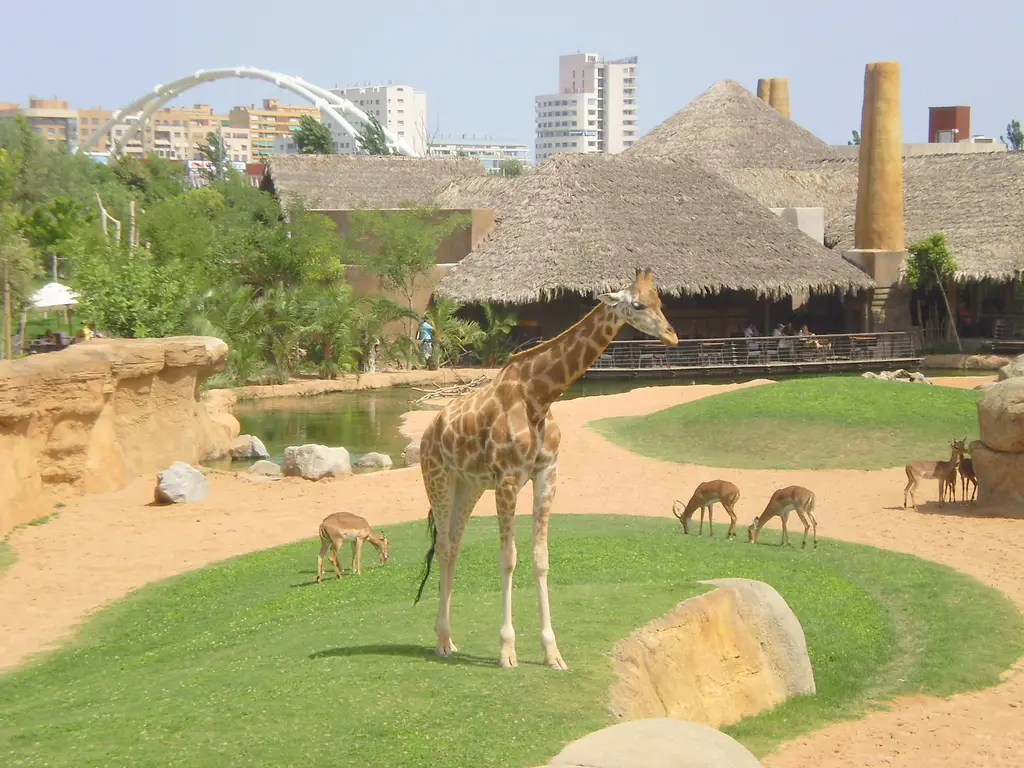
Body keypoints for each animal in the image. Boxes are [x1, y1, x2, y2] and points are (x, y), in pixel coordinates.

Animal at [414, 267, 679, 670]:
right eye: (637, 304)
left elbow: (541, 559)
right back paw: (442, 642)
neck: (540, 396)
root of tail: (430, 431)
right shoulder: (508, 479)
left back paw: (449, 639)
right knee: (443, 546)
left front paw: (552, 652)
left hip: (468, 486)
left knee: (454, 545)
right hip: (438, 478)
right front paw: (507, 651)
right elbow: (508, 559)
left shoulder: (546, 474)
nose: (671, 335)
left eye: (660, 301)